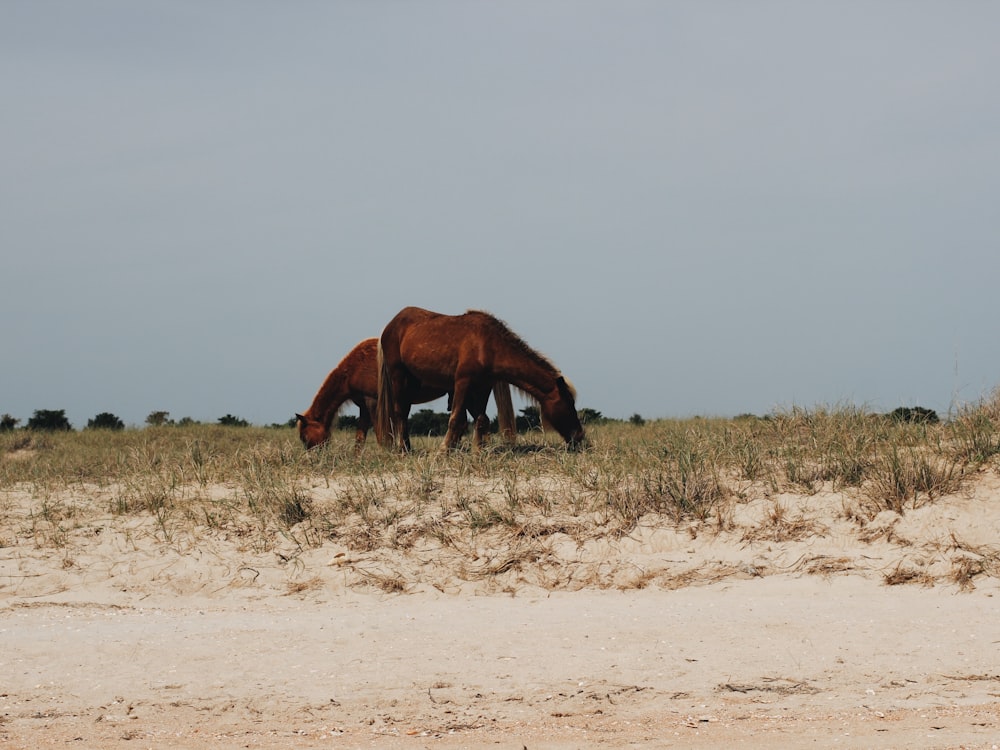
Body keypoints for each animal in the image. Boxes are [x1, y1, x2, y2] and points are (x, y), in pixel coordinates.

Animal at [294, 340, 516, 452]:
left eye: (305, 436)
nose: (313, 456)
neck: (354, 368)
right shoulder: (364, 406)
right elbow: (361, 435)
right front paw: (358, 456)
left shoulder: (373, 402)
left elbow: (380, 431)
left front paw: (387, 452)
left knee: (474, 421)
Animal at [374, 306, 584, 452]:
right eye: (568, 404)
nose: (580, 436)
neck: (489, 345)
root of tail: (390, 326)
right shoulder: (462, 382)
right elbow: (455, 418)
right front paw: (443, 450)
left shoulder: (483, 386)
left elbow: (481, 419)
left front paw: (478, 450)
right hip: (399, 376)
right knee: (400, 413)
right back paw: (403, 449)